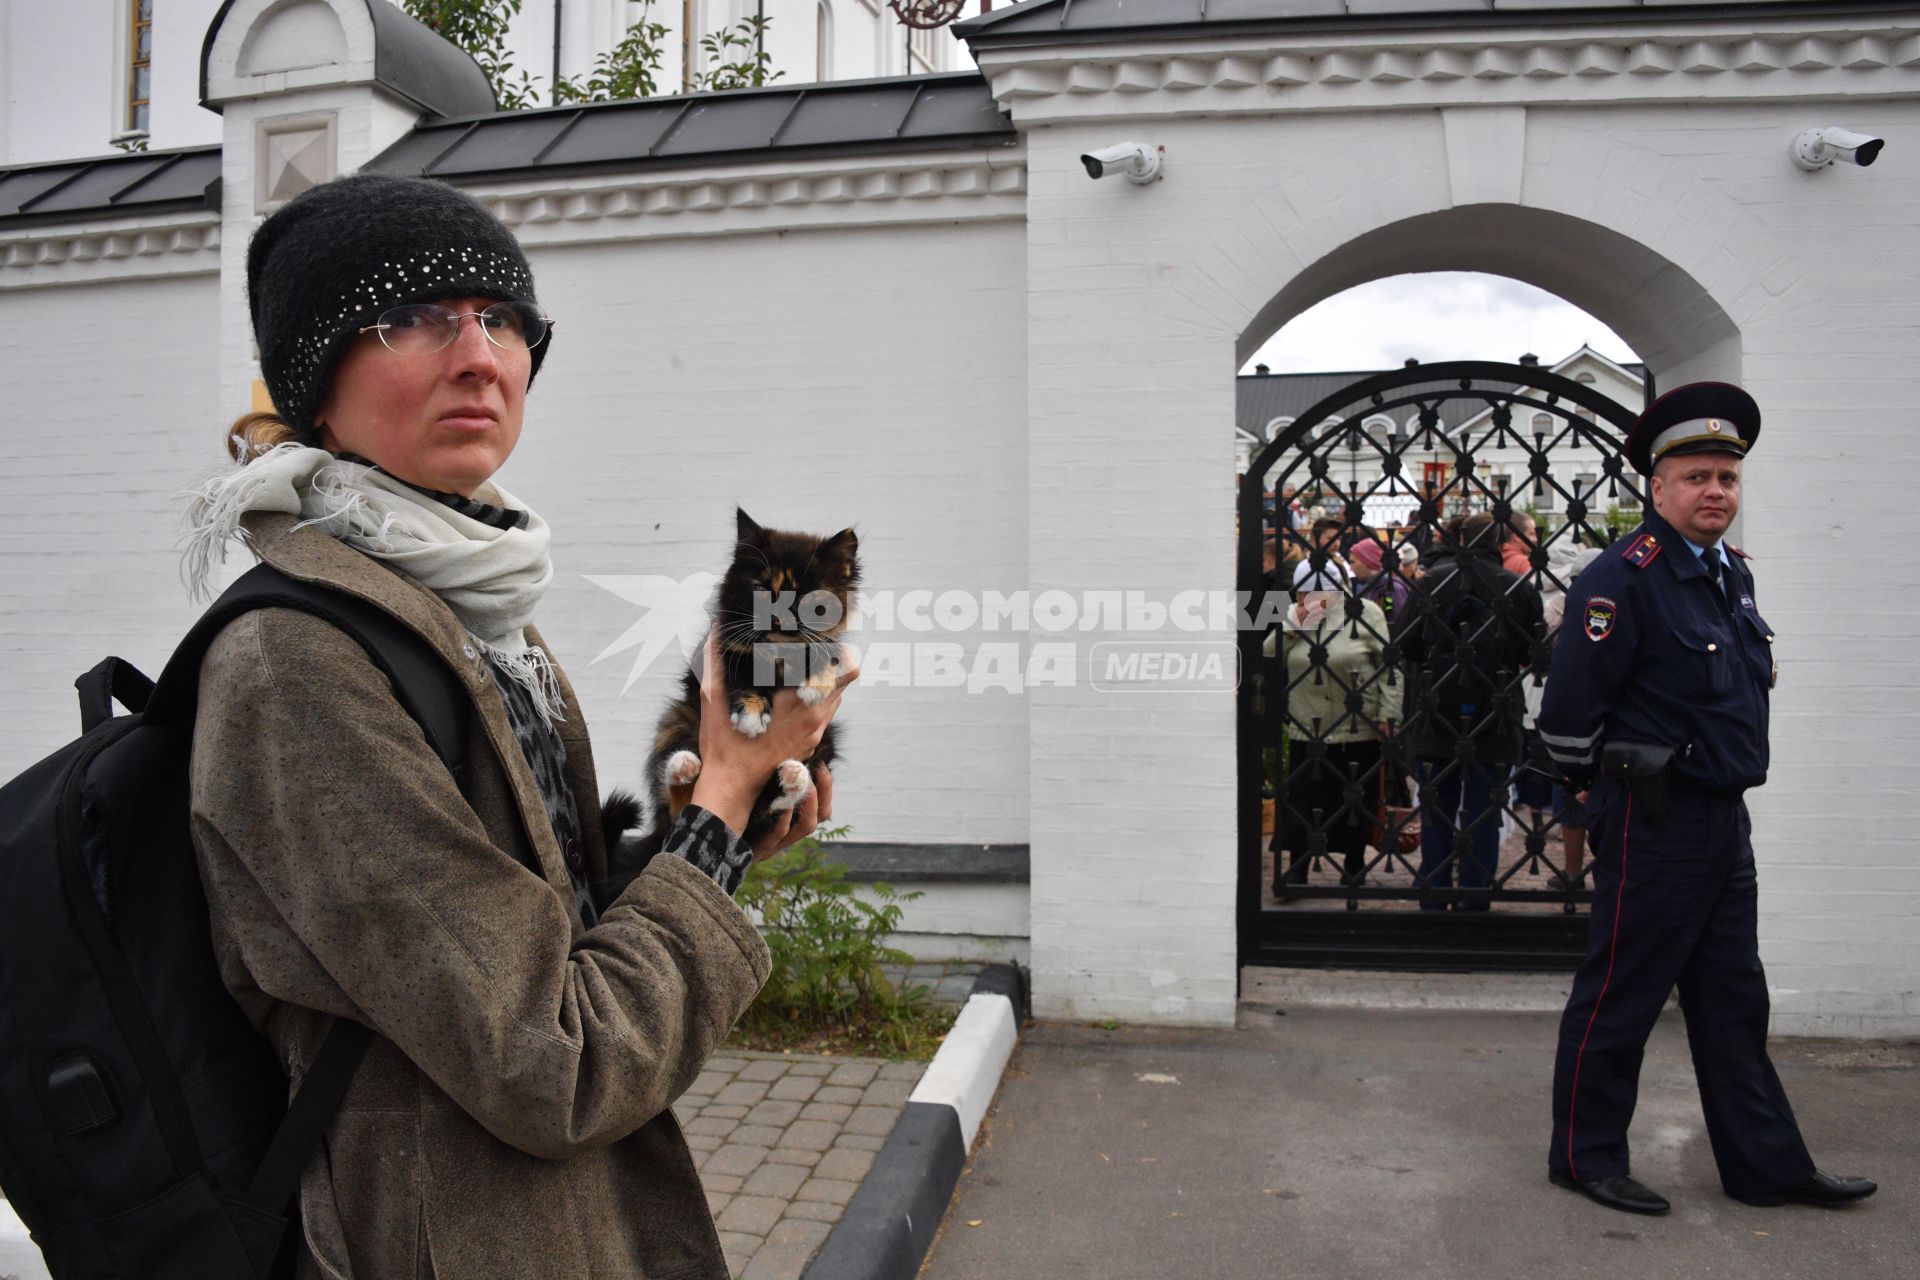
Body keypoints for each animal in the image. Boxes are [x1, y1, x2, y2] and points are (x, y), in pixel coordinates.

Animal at [606, 506, 864, 867]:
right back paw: (683, 767)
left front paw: (814, 686)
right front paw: (752, 716)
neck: (780, 651)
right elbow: (746, 675)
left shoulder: (830, 644)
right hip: (676, 719)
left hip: (826, 744)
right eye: (762, 590)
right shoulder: (725, 647)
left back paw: (792, 781)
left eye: (806, 598)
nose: (778, 619)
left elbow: (829, 651)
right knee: (678, 808)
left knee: (769, 811)